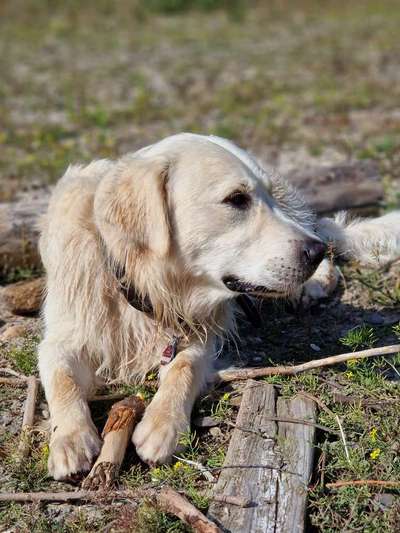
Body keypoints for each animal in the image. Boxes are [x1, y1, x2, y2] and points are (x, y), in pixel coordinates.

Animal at [38, 132, 400, 478]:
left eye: (262, 196)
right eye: (236, 199)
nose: (314, 252)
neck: (144, 285)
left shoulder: (201, 335)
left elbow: (183, 369)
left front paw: (163, 425)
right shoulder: (61, 337)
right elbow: (62, 378)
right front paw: (70, 438)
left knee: (325, 235)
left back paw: (314, 280)